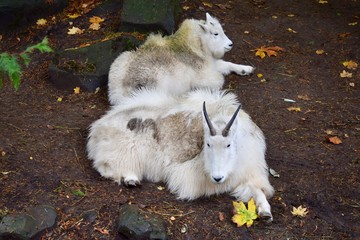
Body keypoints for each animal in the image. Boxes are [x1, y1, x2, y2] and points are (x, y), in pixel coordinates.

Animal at [87, 89, 272, 220]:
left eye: (228, 144)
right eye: (208, 144)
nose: (217, 178)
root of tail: (98, 127)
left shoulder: (249, 173)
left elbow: (257, 190)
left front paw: (265, 212)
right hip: (125, 150)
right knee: (105, 165)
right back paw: (131, 179)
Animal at [108, 12, 255, 105]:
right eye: (215, 34)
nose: (230, 44)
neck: (196, 45)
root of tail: (118, 92)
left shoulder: (210, 64)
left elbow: (227, 64)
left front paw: (246, 69)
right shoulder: (203, 74)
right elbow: (219, 80)